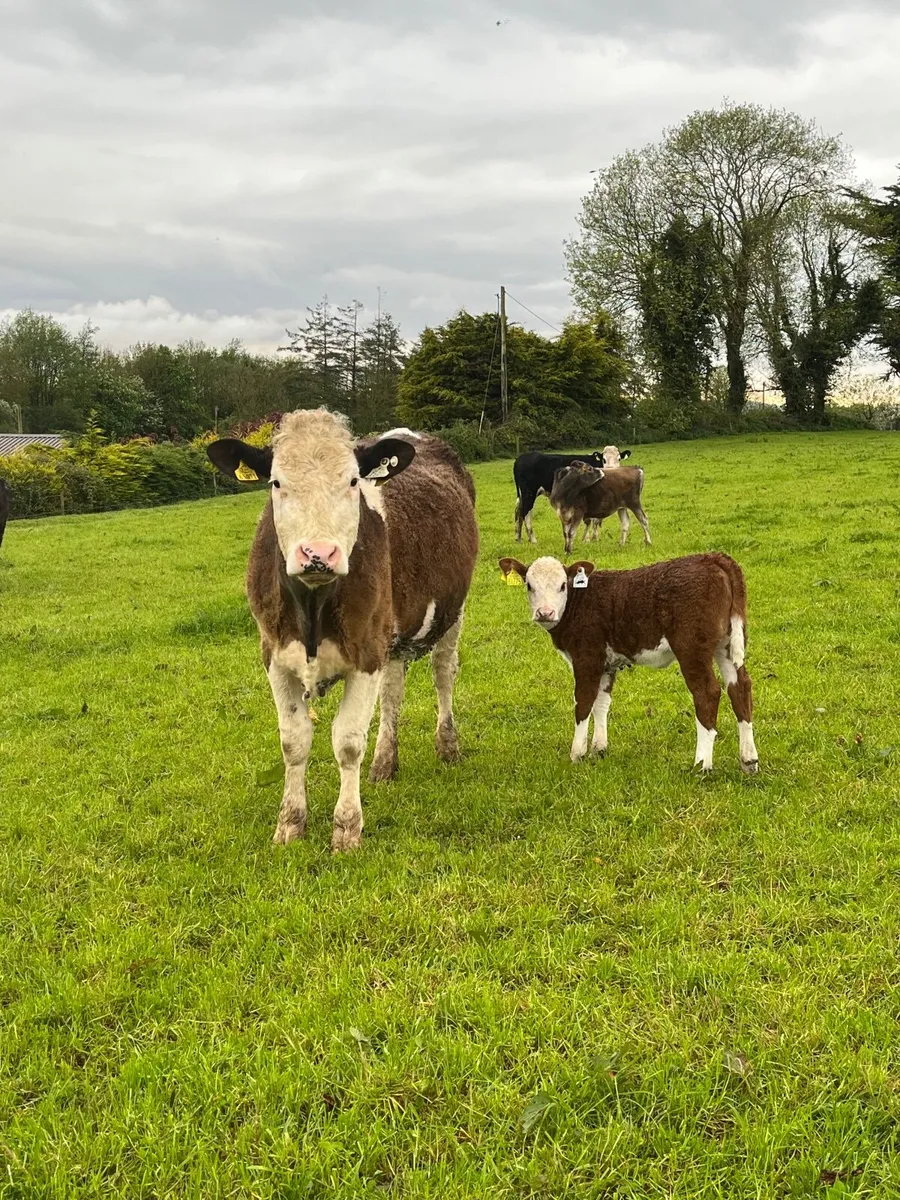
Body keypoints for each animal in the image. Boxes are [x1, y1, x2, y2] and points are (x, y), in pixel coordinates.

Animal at [206, 410, 479, 851]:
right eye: (276, 482)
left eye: (353, 481)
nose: (318, 554)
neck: (312, 609)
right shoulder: (274, 656)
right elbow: (293, 741)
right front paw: (290, 824)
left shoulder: (366, 654)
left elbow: (348, 743)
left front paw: (347, 829)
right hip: (392, 639)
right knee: (393, 692)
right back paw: (385, 762)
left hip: (452, 612)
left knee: (443, 674)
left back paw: (447, 744)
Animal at [498, 553, 759, 775]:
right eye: (529, 585)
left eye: (562, 585)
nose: (545, 613)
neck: (579, 601)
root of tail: (714, 558)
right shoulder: (607, 664)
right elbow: (601, 702)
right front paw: (599, 749)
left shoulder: (587, 658)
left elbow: (583, 703)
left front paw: (577, 754)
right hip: (727, 643)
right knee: (740, 687)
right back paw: (749, 760)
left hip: (692, 648)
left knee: (707, 693)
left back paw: (701, 764)